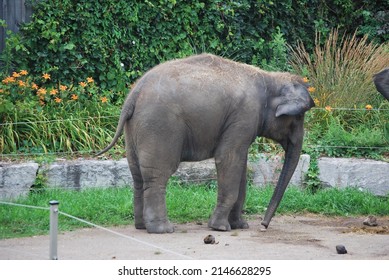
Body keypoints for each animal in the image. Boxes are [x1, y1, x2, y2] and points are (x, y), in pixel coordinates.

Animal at [95, 53, 314, 233]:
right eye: (299, 117)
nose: (263, 225)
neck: (269, 78)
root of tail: (134, 94)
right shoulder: (244, 115)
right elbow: (228, 159)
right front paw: (220, 228)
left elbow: (241, 168)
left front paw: (240, 226)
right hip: (159, 126)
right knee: (157, 174)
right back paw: (163, 229)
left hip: (134, 129)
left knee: (137, 175)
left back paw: (141, 226)